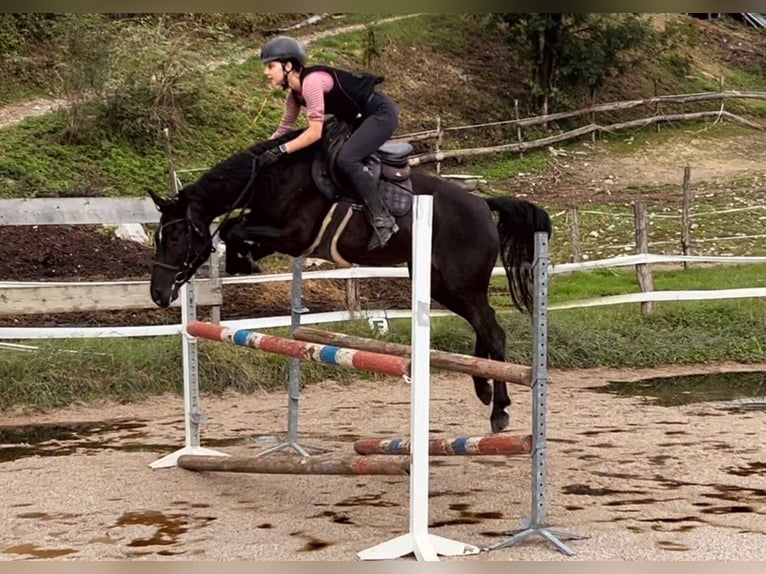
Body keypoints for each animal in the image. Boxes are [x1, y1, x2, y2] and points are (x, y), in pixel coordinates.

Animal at [148, 126, 552, 434]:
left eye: (176, 236)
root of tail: (484, 205)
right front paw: (240, 261)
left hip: (459, 284)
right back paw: (482, 387)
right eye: (158, 236)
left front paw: (240, 260)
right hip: (443, 285)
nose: (158, 294)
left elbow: (234, 228)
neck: (274, 178)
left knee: (492, 329)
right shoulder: (275, 234)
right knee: (485, 326)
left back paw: (499, 408)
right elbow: (235, 228)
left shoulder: (294, 235)